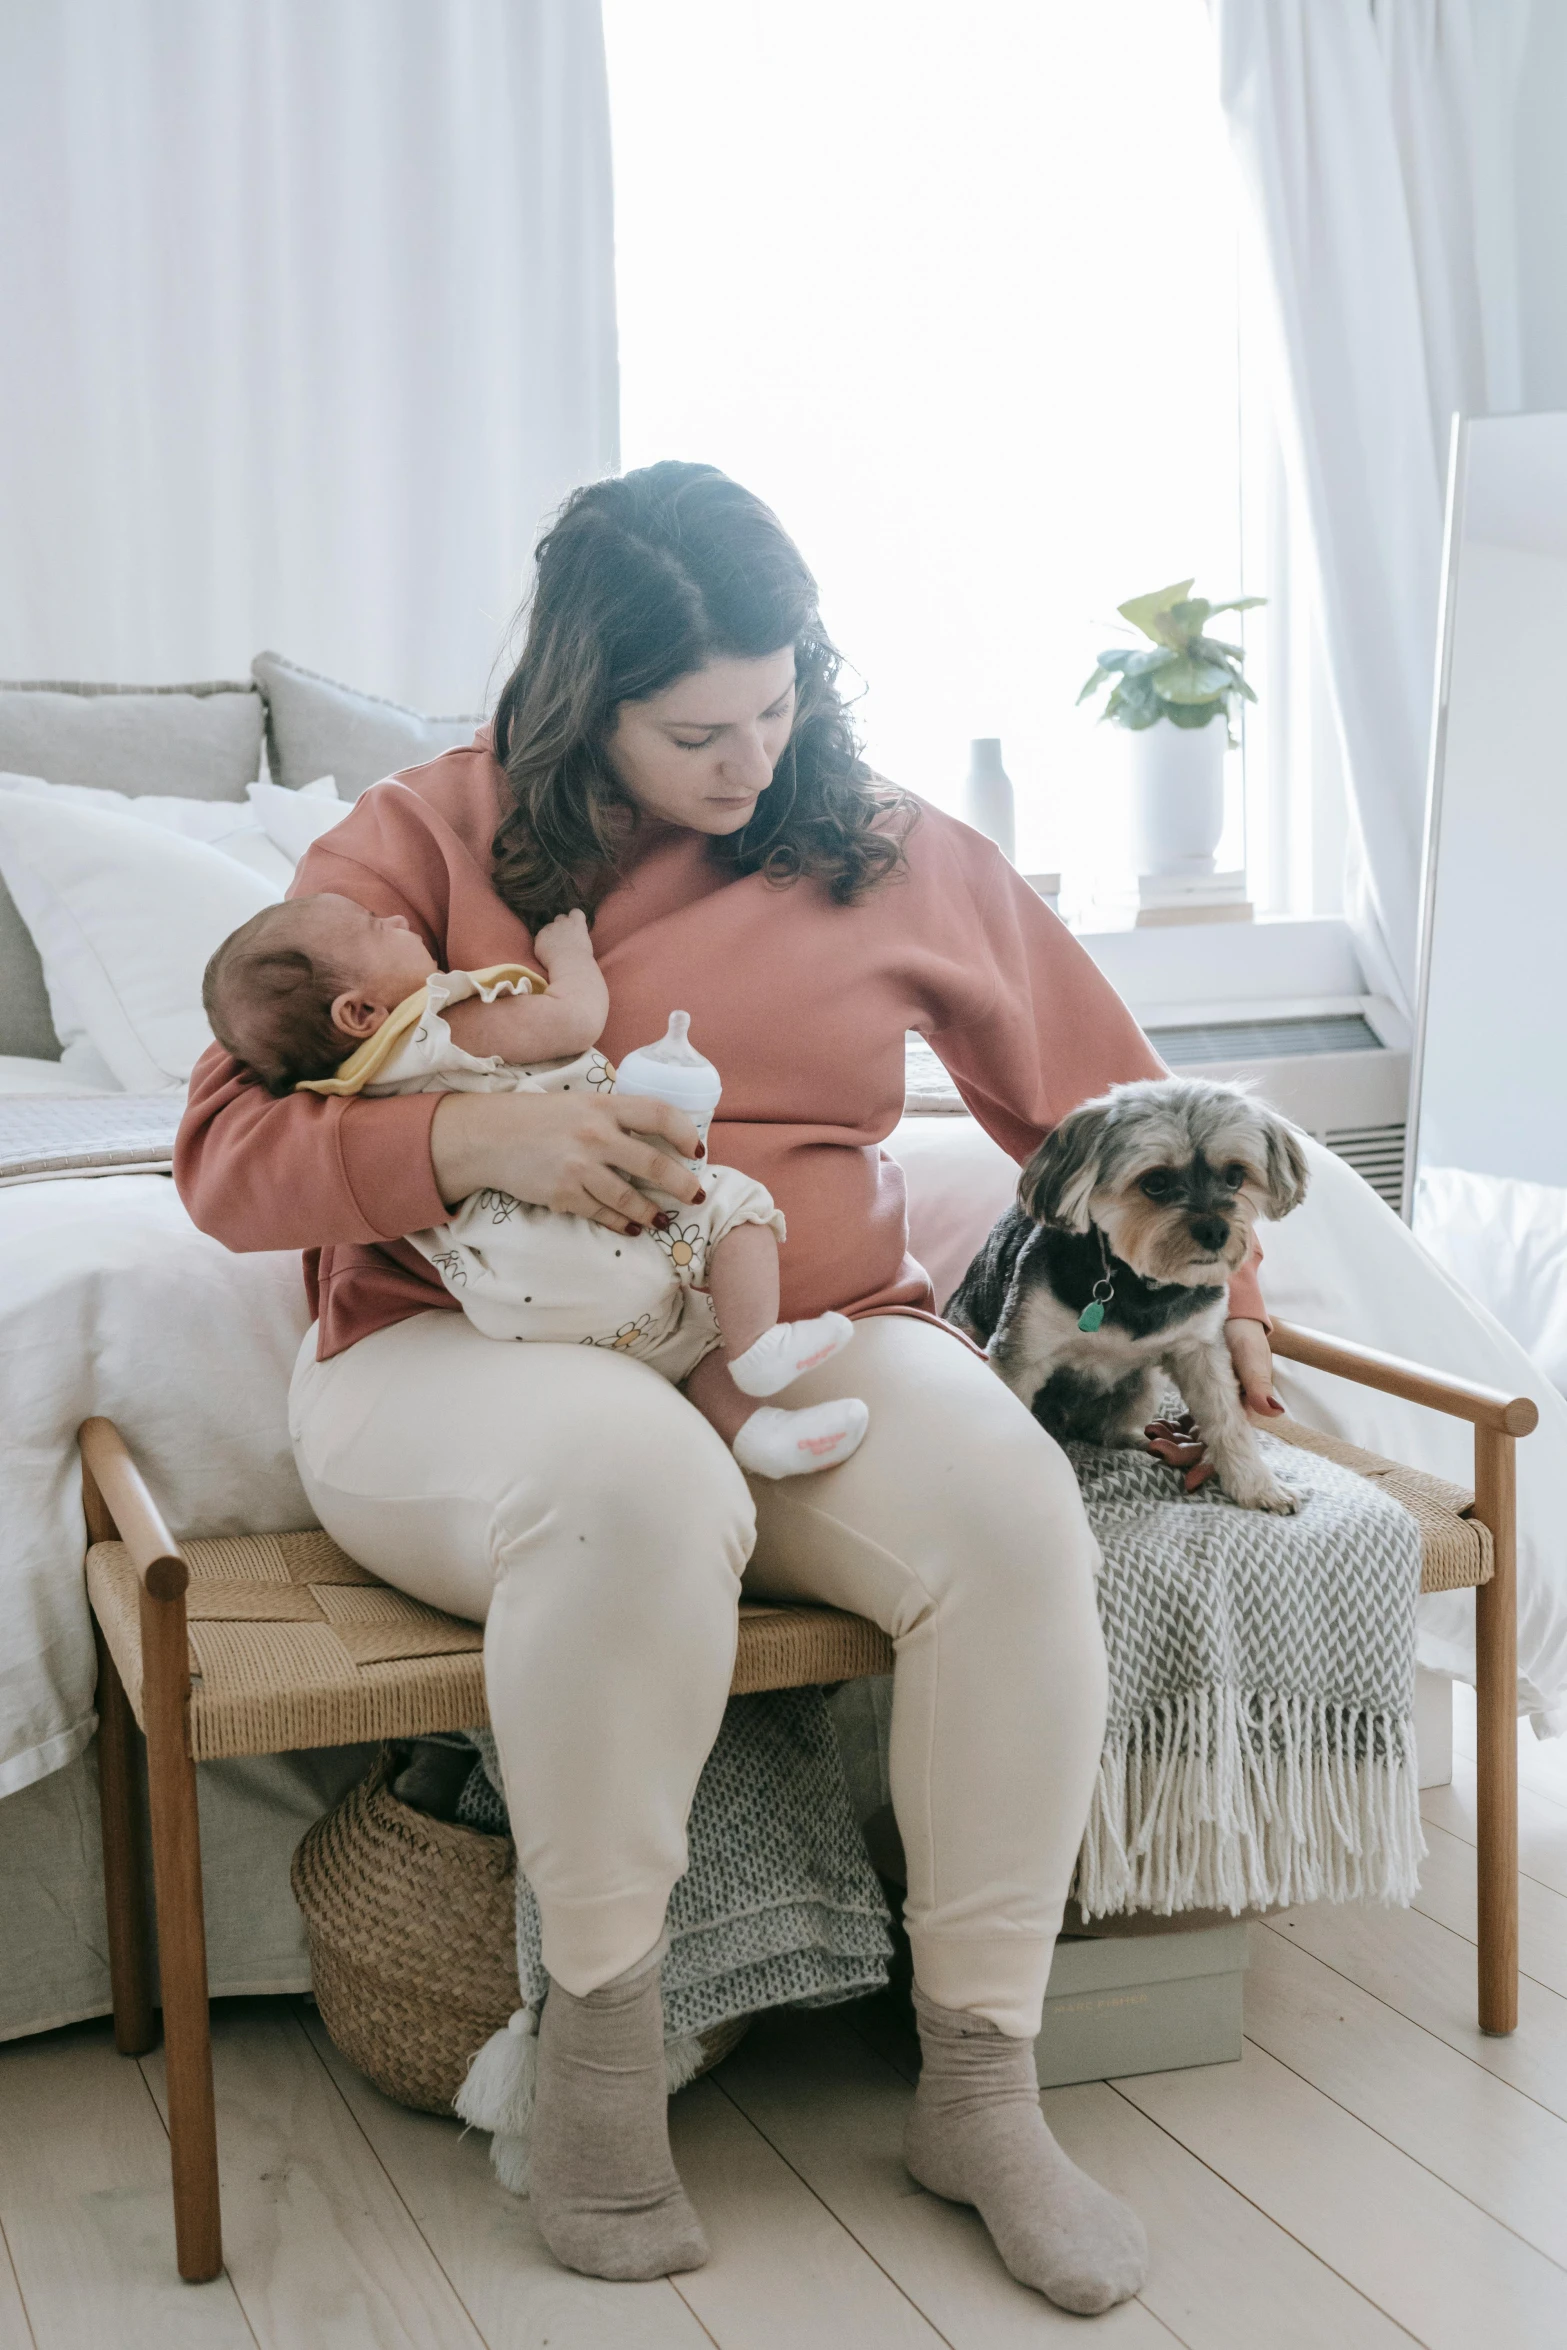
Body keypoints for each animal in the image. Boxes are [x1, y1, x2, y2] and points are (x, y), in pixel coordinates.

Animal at [944, 1076, 1315, 1513]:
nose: (1215, 1231)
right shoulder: (1021, 1354)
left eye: (1235, 1176)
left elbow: (1227, 1419)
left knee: (1108, 1431)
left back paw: (1144, 1442)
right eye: (1154, 1183)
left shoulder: (1200, 1350)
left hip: (1144, 1385)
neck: (1137, 1284)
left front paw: (1257, 1485)